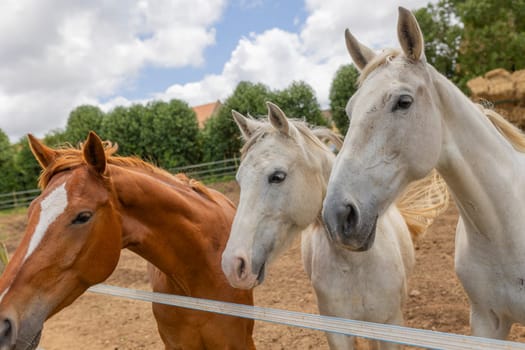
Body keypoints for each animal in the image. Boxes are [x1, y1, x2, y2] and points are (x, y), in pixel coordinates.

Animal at [221, 102, 446, 348]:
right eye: (240, 180)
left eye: (277, 176)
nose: (233, 265)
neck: (357, 263)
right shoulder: (337, 332)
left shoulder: (390, 325)